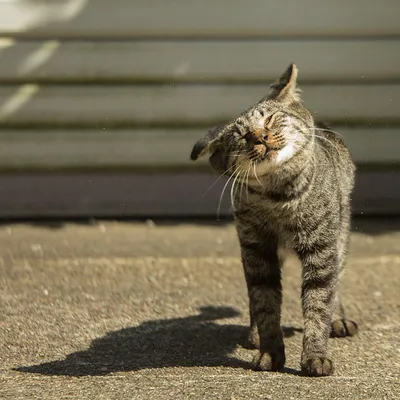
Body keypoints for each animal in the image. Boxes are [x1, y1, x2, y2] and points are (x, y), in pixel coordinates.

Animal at [191, 64, 360, 376]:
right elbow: (265, 302)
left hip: (340, 236)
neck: (279, 197)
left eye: (269, 119)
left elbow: (319, 300)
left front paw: (315, 356)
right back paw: (254, 335)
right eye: (243, 136)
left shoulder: (322, 248)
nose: (261, 137)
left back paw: (339, 319)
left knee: (336, 281)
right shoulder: (256, 250)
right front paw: (270, 351)